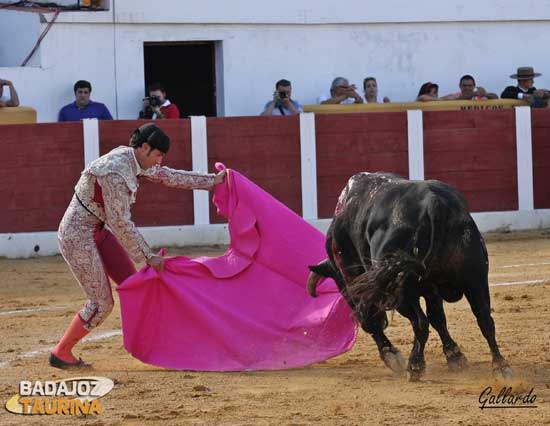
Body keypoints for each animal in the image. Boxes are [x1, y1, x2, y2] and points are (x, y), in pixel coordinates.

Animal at [308, 172, 516, 380]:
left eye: (340, 287)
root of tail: (433, 203)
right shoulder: (432, 290)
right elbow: (438, 318)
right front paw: (455, 357)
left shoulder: (354, 280)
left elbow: (370, 319)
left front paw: (391, 355)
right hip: (475, 277)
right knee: (484, 319)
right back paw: (501, 367)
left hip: (401, 291)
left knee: (420, 322)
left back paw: (414, 366)